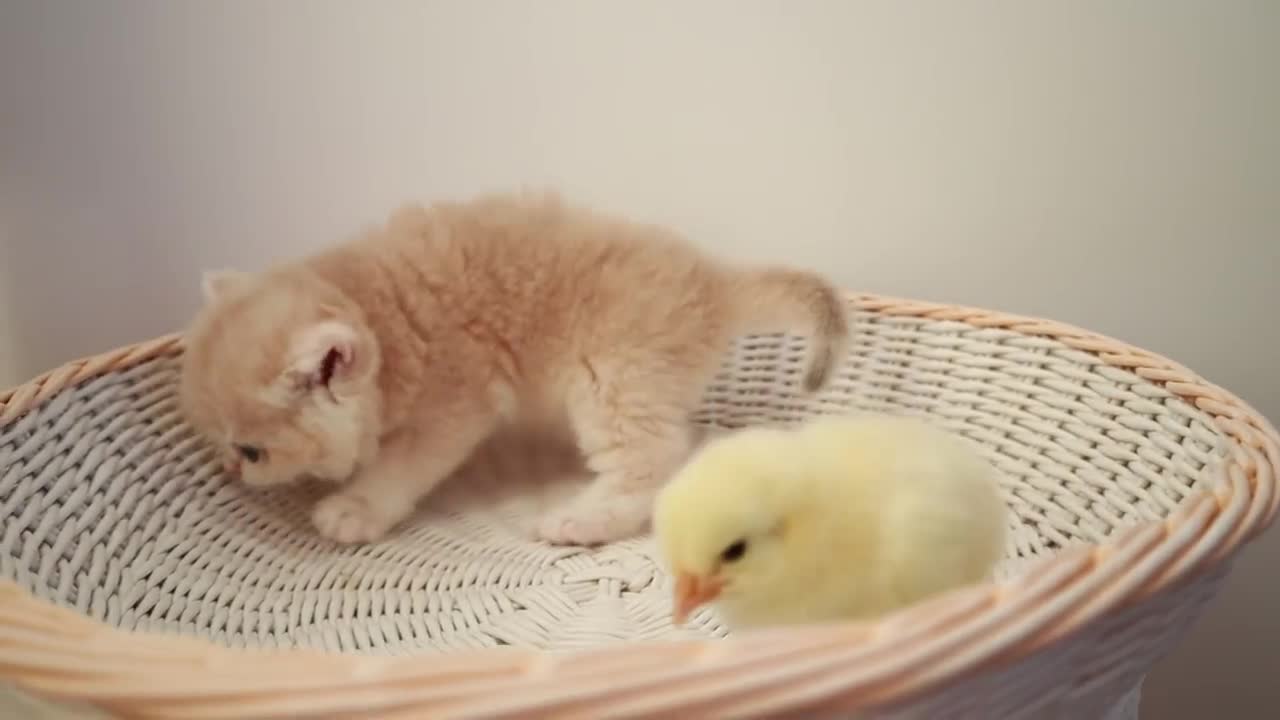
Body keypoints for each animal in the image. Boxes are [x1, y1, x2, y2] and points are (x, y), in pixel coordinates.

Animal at [172, 190, 849, 543]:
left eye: (252, 450)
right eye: (224, 446)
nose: (231, 469)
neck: (382, 316)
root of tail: (711, 279)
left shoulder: (452, 406)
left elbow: (398, 467)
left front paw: (356, 507)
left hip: (613, 381)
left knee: (652, 463)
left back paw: (580, 520)